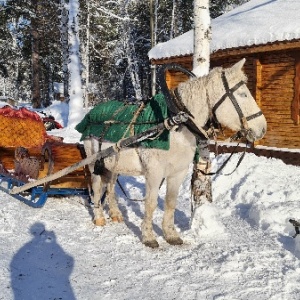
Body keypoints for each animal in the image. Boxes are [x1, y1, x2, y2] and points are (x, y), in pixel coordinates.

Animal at [82, 57, 268, 247]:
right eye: (243, 94)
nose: (262, 129)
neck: (175, 123)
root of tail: (92, 114)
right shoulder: (154, 173)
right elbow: (150, 203)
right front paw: (148, 236)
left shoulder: (178, 172)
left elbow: (170, 202)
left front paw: (170, 234)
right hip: (94, 162)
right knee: (96, 187)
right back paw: (99, 217)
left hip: (113, 164)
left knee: (110, 187)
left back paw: (115, 214)